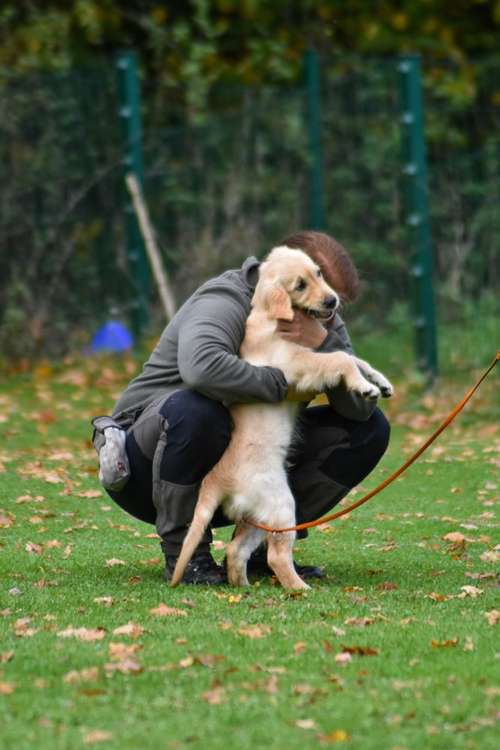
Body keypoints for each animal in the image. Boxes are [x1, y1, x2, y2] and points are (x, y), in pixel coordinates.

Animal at [170, 250, 392, 592]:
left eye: (318, 273)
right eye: (300, 285)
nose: (332, 301)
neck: (271, 316)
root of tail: (218, 478)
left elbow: (355, 358)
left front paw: (380, 382)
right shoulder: (294, 366)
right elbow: (340, 358)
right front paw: (365, 386)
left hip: (258, 515)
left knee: (236, 549)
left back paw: (244, 585)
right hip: (281, 505)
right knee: (275, 555)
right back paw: (300, 589)